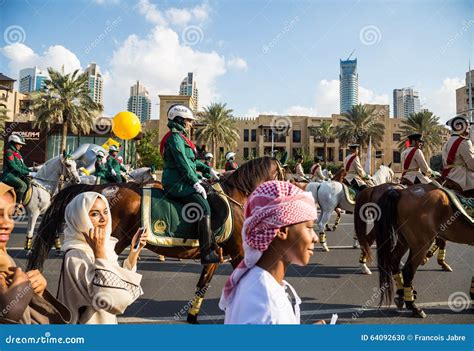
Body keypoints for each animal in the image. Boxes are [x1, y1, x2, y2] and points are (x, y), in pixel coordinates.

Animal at [27, 157, 286, 324]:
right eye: (283, 176)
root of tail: (99, 190)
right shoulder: (239, 254)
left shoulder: (216, 255)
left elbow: (202, 284)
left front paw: (192, 315)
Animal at [372, 186, 472, 318]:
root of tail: (401, 192)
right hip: (421, 243)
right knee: (408, 270)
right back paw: (413, 306)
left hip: (405, 241)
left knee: (394, 262)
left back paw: (402, 294)